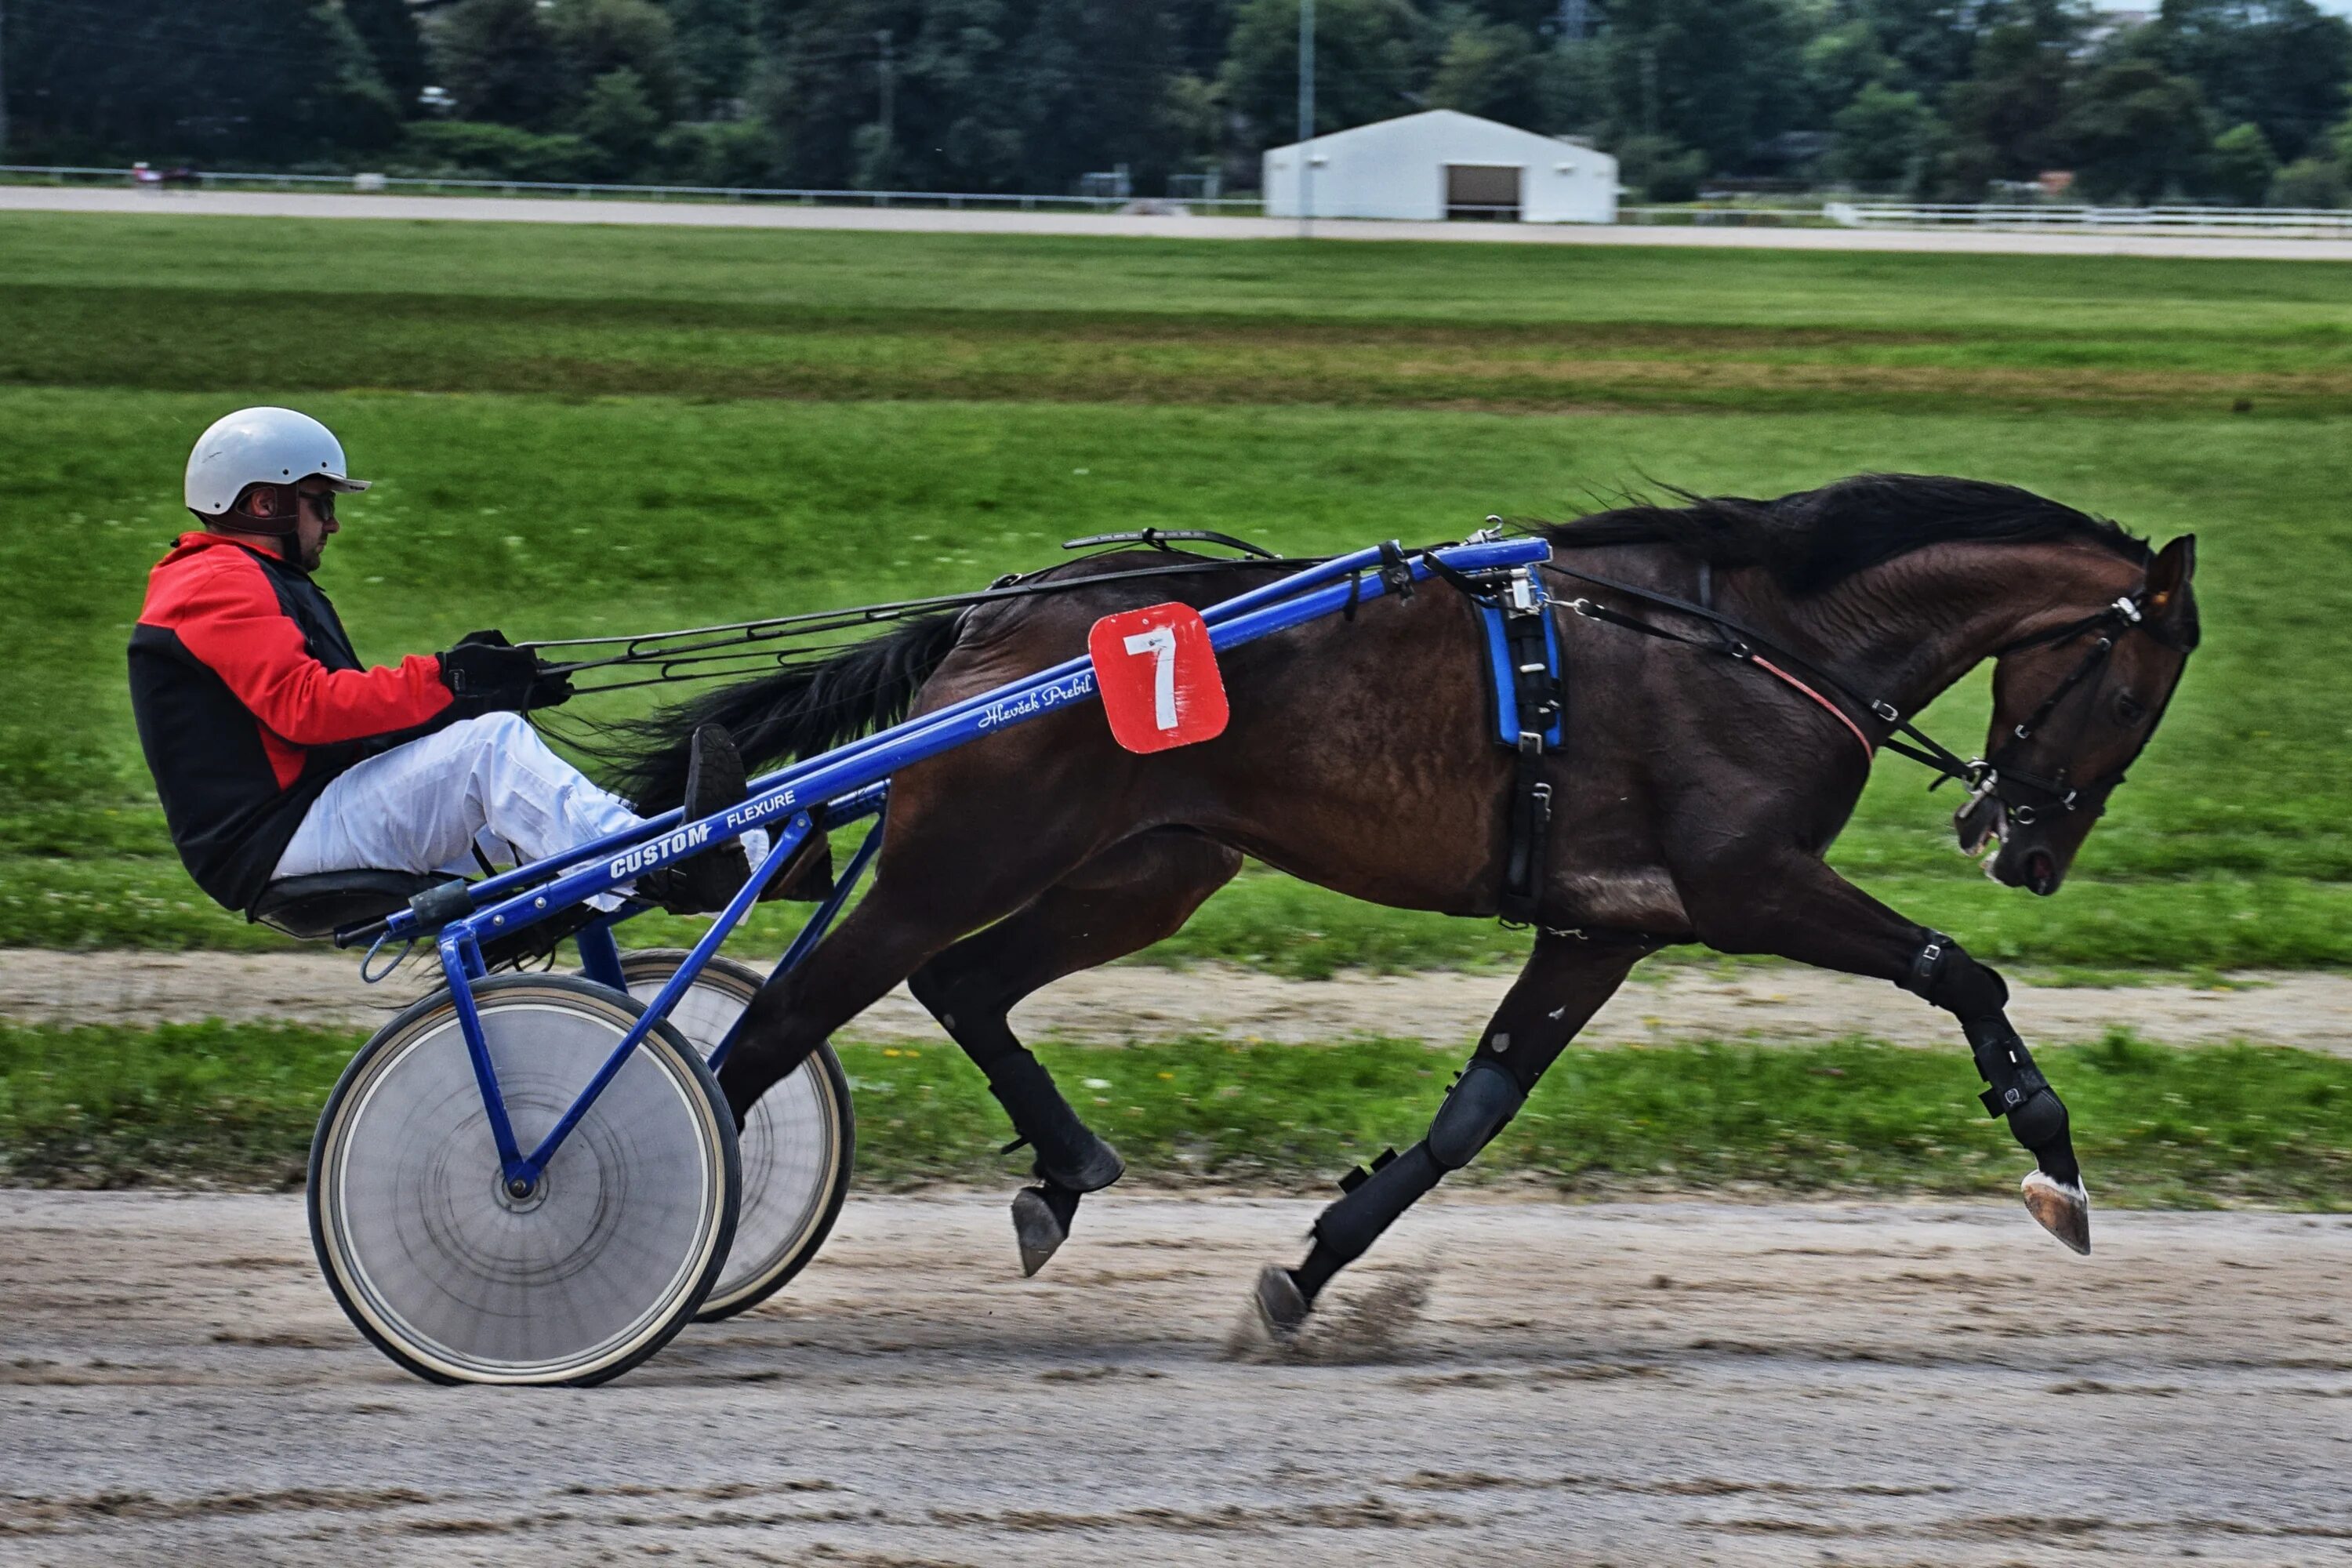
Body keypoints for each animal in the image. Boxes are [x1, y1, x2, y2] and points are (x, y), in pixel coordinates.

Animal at [616, 472, 2192, 1335]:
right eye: (2134, 694)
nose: (2025, 846)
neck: (1765, 635)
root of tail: (1001, 616)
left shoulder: (1606, 925)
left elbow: (1473, 1113)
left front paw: (1312, 1271)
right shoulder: (1748, 882)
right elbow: (1959, 973)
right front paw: (2053, 1160)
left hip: (1151, 865)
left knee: (966, 985)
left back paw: (1062, 1174)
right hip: (968, 854)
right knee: (773, 1031)